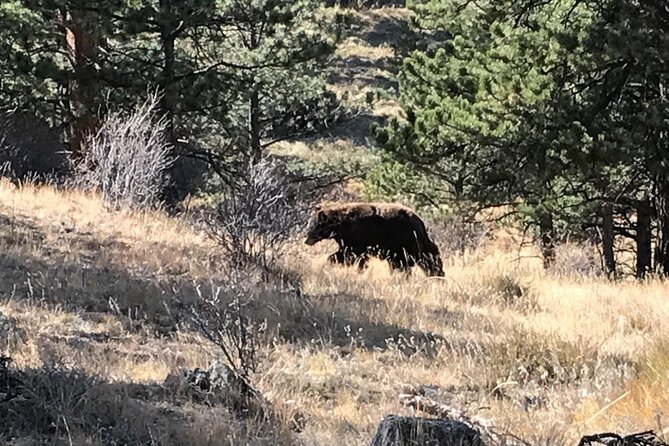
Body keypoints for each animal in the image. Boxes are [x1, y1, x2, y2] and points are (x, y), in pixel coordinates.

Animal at [302, 202, 444, 276]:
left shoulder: (356, 238)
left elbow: (349, 254)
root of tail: (420, 221)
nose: (306, 240)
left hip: (403, 242)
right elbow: (350, 255)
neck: (341, 225)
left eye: (312, 226)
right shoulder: (350, 241)